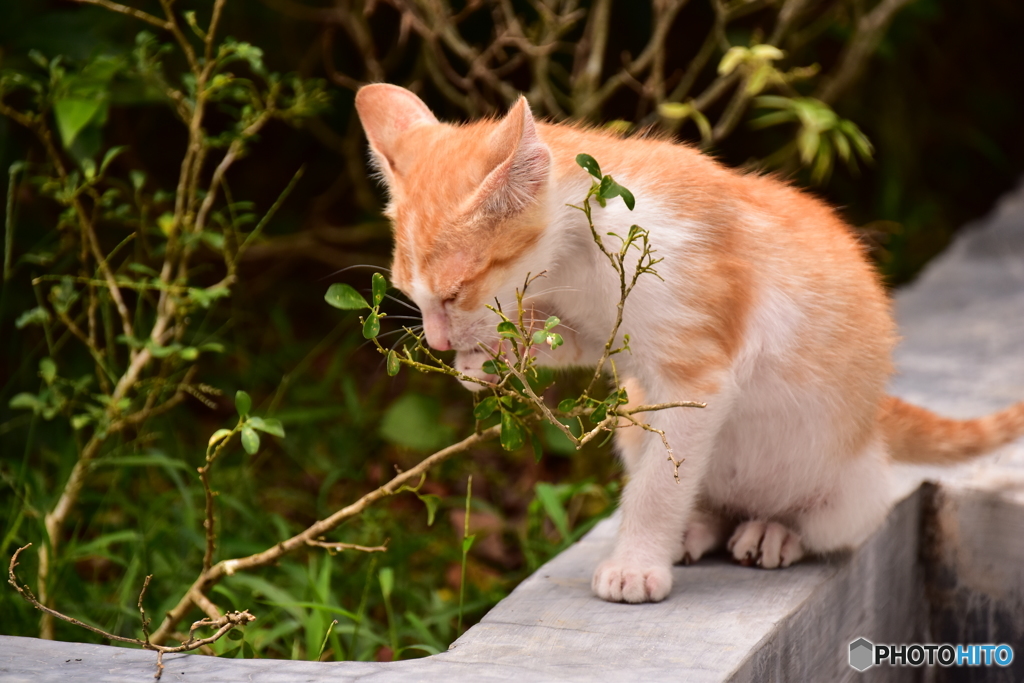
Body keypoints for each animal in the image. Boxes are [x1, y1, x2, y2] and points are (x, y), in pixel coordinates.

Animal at [356, 83, 1024, 602]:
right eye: (411, 295)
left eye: (453, 293)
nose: (439, 342)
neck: (579, 255)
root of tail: (876, 416)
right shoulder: (597, 330)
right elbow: (568, 344)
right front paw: (488, 360)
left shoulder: (698, 376)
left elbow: (660, 484)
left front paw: (634, 565)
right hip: (632, 426)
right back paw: (700, 526)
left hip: (851, 486)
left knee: (823, 525)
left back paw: (772, 531)